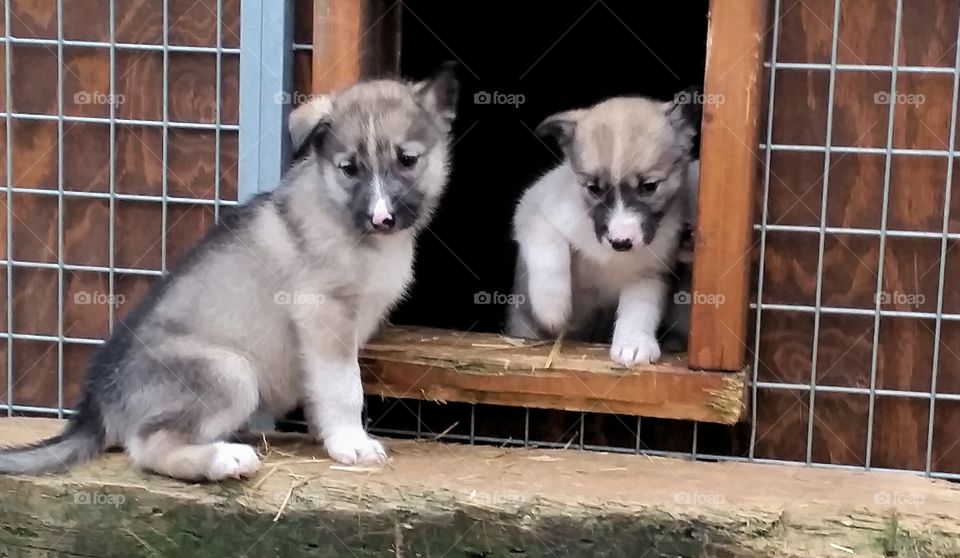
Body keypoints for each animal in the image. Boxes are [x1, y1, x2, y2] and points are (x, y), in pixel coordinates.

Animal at [0, 62, 462, 482]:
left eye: (407, 160)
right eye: (350, 168)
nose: (382, 218)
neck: (344, 216)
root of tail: (99, 404)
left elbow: (322, 389)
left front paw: (329, 437)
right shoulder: (323, 313)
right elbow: (344, 386)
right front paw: (352, 441)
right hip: (231, 372)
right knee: (148, 446)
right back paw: (226, 459)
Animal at [506, 93, 700, 368]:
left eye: (649, 186)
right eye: (594, 188)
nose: (621, 242)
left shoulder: (648, 274)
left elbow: (639, 310)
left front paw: (633, 344)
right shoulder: (534, 210)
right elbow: (550, 254)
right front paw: (553, 309)